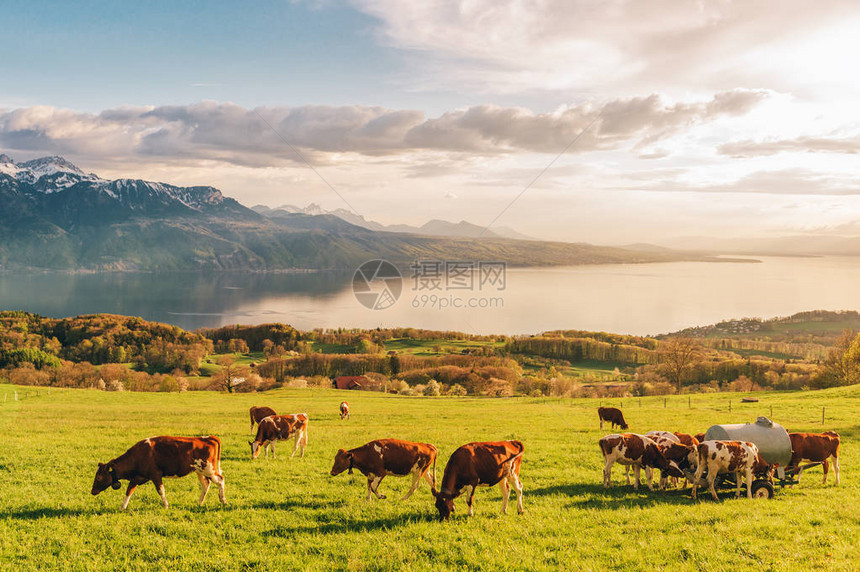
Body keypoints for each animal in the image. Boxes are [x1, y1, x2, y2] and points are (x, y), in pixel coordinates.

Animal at [91, 436, 227, 512]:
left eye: (99, 476)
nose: (92, 491)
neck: (138, 455)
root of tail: (208, 438)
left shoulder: (155, 475)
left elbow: (161, 491)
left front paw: (166, 505)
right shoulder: (136, 477)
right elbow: (128, 491)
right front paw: (122, 507)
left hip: (209, 469)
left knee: (220, 480)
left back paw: (223, 500)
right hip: (199, 470)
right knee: (205, 484)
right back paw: (199, 502)